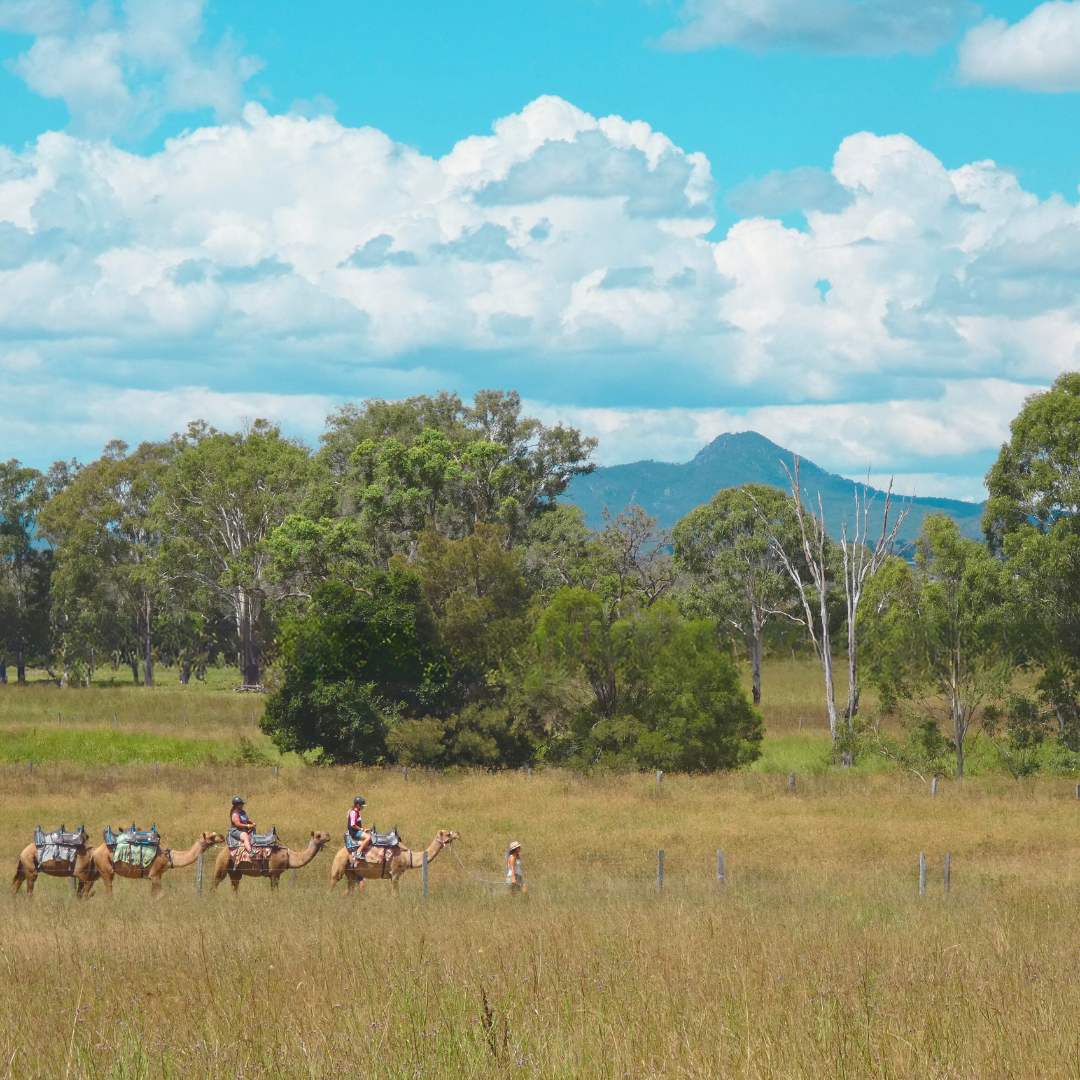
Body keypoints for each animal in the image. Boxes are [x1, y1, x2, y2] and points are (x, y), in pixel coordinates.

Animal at [91, 831, 225, 898]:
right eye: (212, 836)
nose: (222, 837)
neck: (170, 856)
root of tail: (95, 852)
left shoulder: (157, 876)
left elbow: (154, 895)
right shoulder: (154, 874)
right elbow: (161, 895)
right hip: (106, 870)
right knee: (108, 891)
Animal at [328, 829, 460, 894]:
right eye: (447, 833)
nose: (458, 834)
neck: (408, 856)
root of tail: (339, 851)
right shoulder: (395, 872)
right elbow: (395, 894)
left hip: (352, 873)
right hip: (339, 864)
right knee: (332, 882)